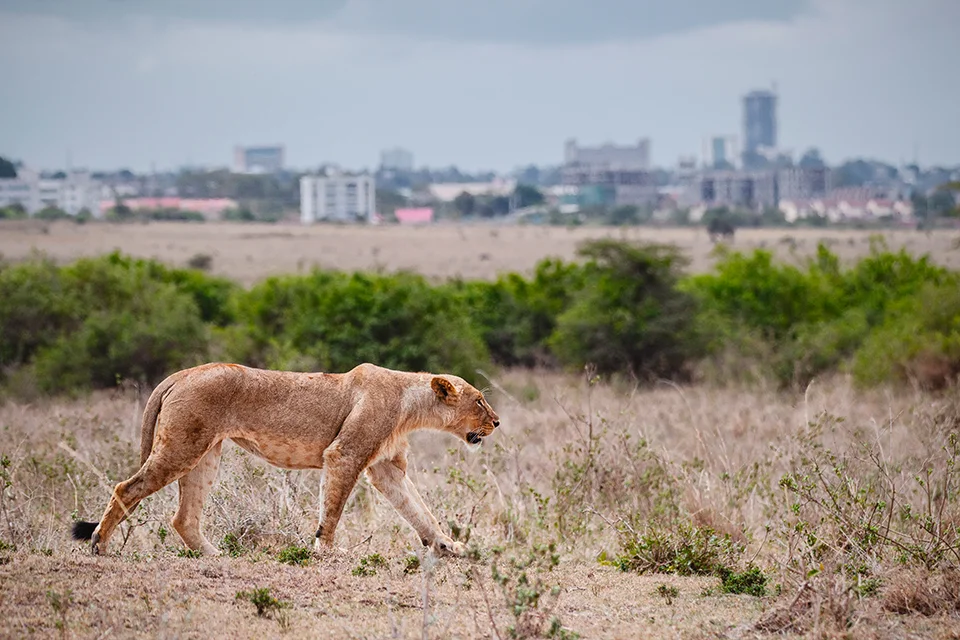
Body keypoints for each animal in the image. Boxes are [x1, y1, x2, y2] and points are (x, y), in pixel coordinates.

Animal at [71, 362, 500, 558]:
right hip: (180, 448)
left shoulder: (385, 468)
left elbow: (419, 510)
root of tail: (182, 373)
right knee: (126, 487)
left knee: (183, 517)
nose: (496, 421)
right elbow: (333, 509)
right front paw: (326, 551)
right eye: (479, 400)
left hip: (204, 454)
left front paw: (448, 547)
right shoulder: (344, 454)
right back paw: (99, 545)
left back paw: (216, 556)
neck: (409, 404)